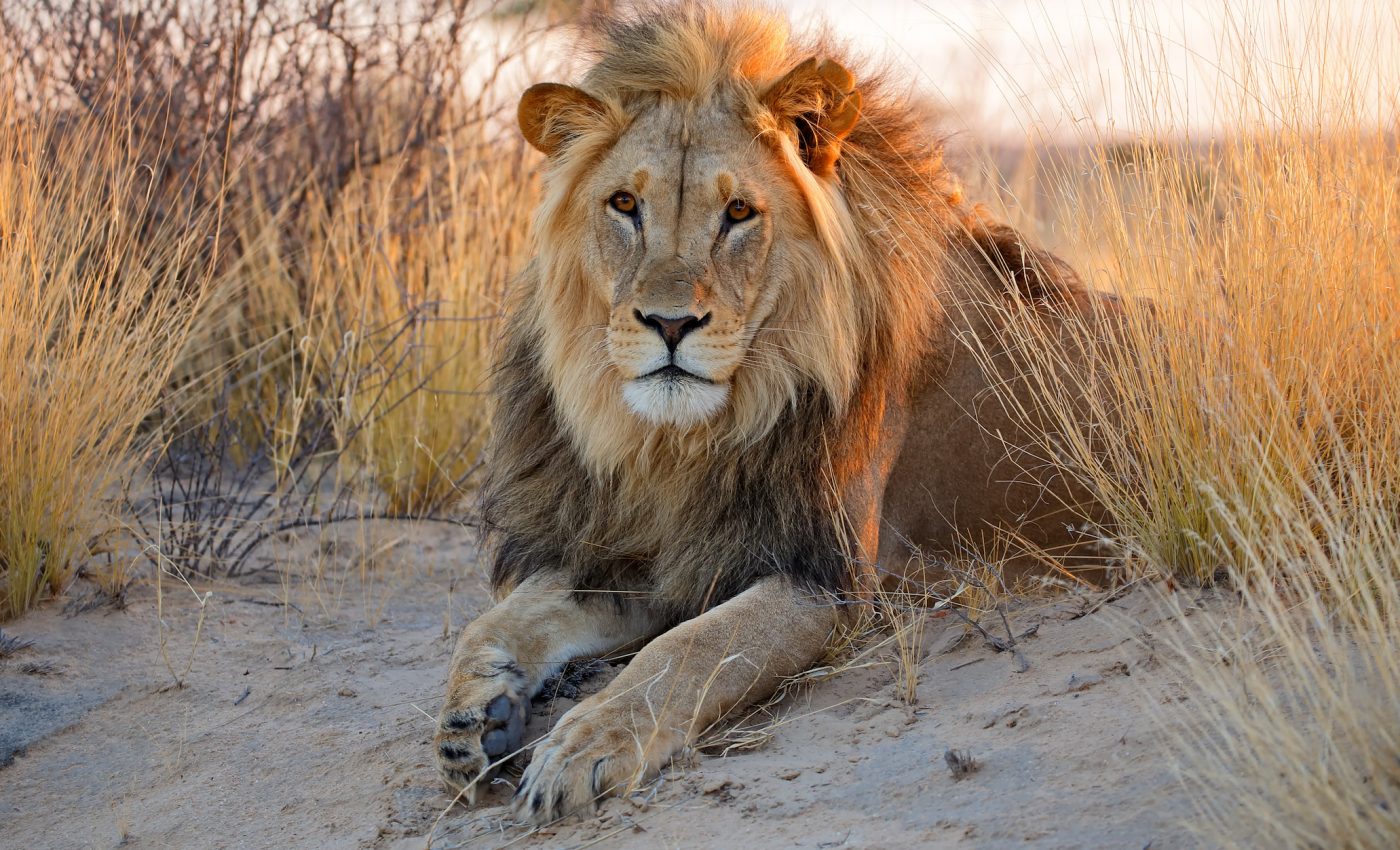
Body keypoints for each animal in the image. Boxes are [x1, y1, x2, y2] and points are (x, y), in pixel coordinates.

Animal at [435, 3, 1122, 823]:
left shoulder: (826, 577)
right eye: (625, 205)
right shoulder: (654, 551)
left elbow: (688, 650)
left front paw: (583, 746)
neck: (681, 444)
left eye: (738, 213)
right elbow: (500, 619)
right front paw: (474, 716)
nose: (669, 324)